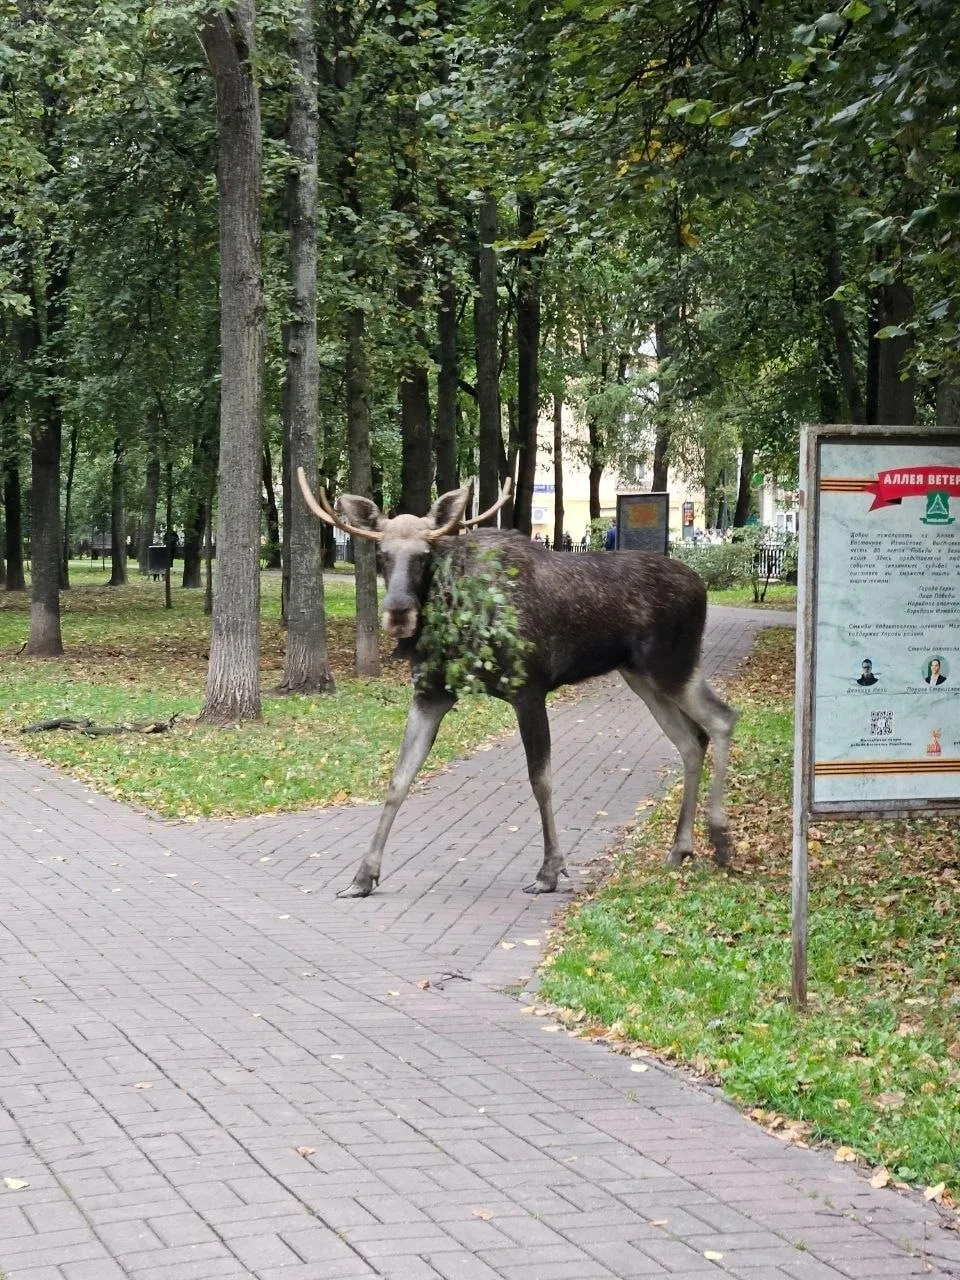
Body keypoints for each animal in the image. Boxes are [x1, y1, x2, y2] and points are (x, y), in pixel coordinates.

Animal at [298, 470, 738, 898]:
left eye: (425, 555)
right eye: (382, 555)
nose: (399, 612)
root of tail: (701, 587)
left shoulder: (529, 689)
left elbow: (540, 780)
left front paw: (550, 870)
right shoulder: (431, 695)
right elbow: (398, 779)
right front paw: (363, 876)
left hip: (671, 666)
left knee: (721, 719)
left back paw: (719, 838)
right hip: (642, 678)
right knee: (691, 740)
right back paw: (681, 848)